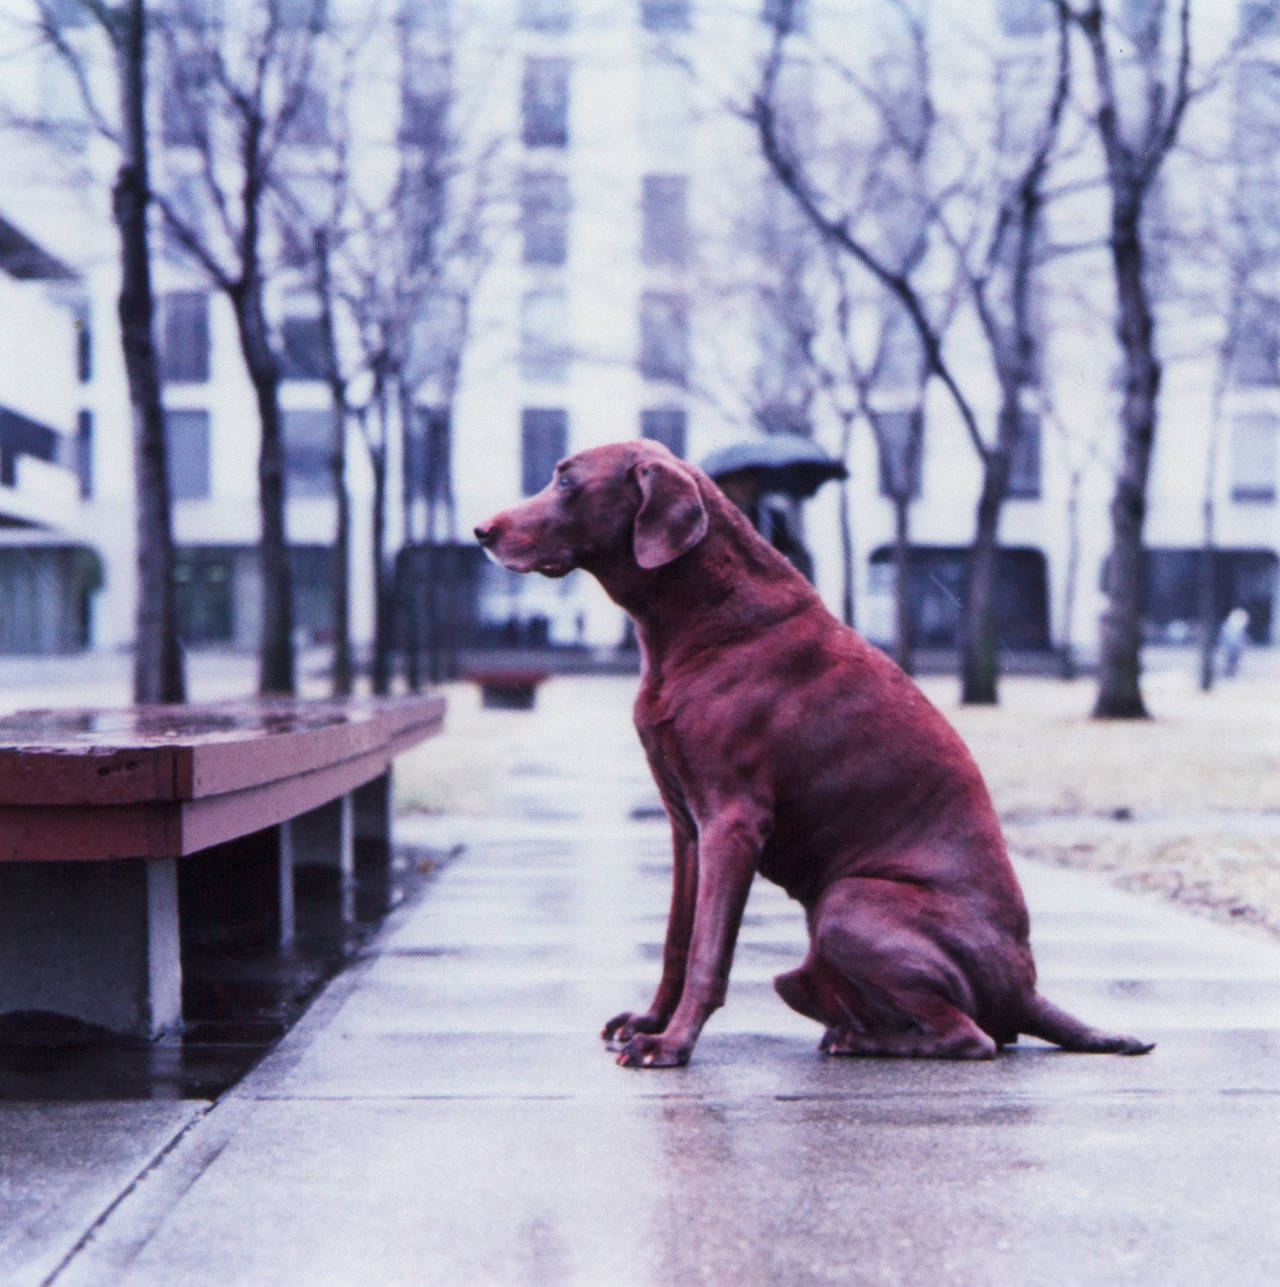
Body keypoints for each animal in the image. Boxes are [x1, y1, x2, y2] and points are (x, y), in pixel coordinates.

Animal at [475, 442, 1157, 1065]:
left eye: (567, 481)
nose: (482, 531)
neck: (705, 617)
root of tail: (1027, 991)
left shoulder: (732, 821)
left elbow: (707, 951)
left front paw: (670, 1044)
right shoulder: (687, 826)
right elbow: (676, 940)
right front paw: (650, 1022)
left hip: (848, 903)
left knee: (976, 1039)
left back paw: (870, 1042)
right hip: (805, 967)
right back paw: (855, 1035)